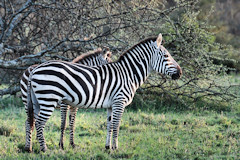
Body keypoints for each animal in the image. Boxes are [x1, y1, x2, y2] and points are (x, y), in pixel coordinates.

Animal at [25, 33, 182, 151]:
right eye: (166, 56)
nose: (180, 73)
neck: (128, 74)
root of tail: (34, 70)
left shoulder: (111, 105)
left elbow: (109, 125)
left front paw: (108, 147)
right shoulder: (119, 102)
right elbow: (116, 125)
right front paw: (116, 148)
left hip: (36, 102)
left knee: (30, 122)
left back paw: (30, 148)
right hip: (48, 99)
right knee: (39, 123)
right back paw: (44, 150)